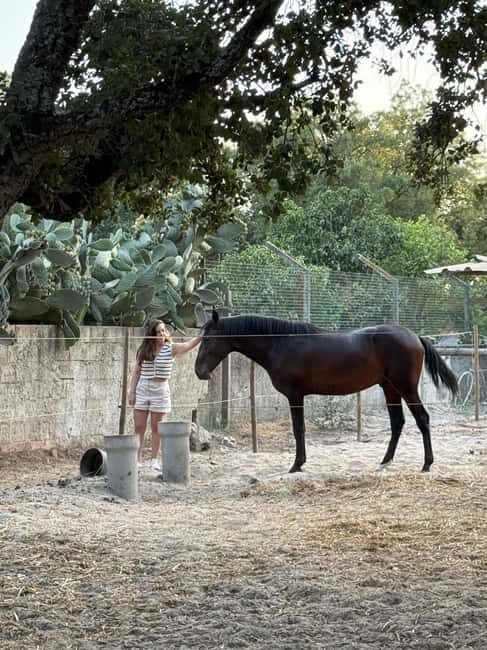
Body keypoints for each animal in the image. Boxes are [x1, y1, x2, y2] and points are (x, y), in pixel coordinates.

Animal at [195, 311, 458, 474]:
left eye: (208, 339)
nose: (199, 372)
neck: (281, 343)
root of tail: (414, 336)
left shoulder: (295, 396)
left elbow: (298, 429)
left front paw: (297, 464)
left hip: (405, 388)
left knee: (422, 419)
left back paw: (426, 464)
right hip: (389, 388)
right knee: (397, 423)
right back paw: (385, 462)